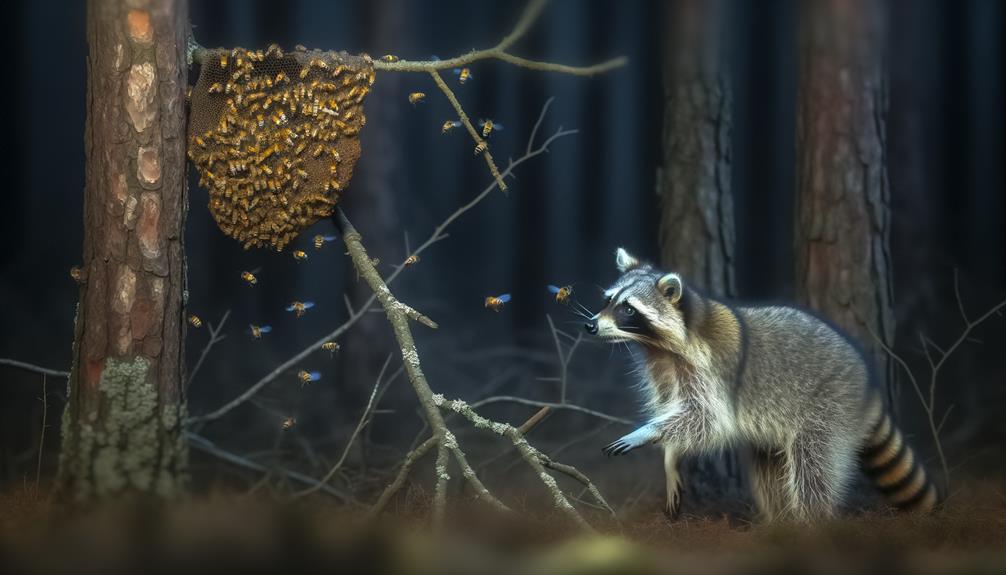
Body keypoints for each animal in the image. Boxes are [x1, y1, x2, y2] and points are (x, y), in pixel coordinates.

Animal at [587, 247, 937, 522]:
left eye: (628, 309)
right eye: (608, 300)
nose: (591, 325)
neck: (659, 346)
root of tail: (868, 382)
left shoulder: (714, 372)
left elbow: (708, 420)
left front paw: (649, 432)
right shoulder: (663, 370)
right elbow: (677, 410)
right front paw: (671, 457)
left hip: (830, 402)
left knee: (812, 467)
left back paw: (812, 524)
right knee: (770, 476)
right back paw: (779, 523)